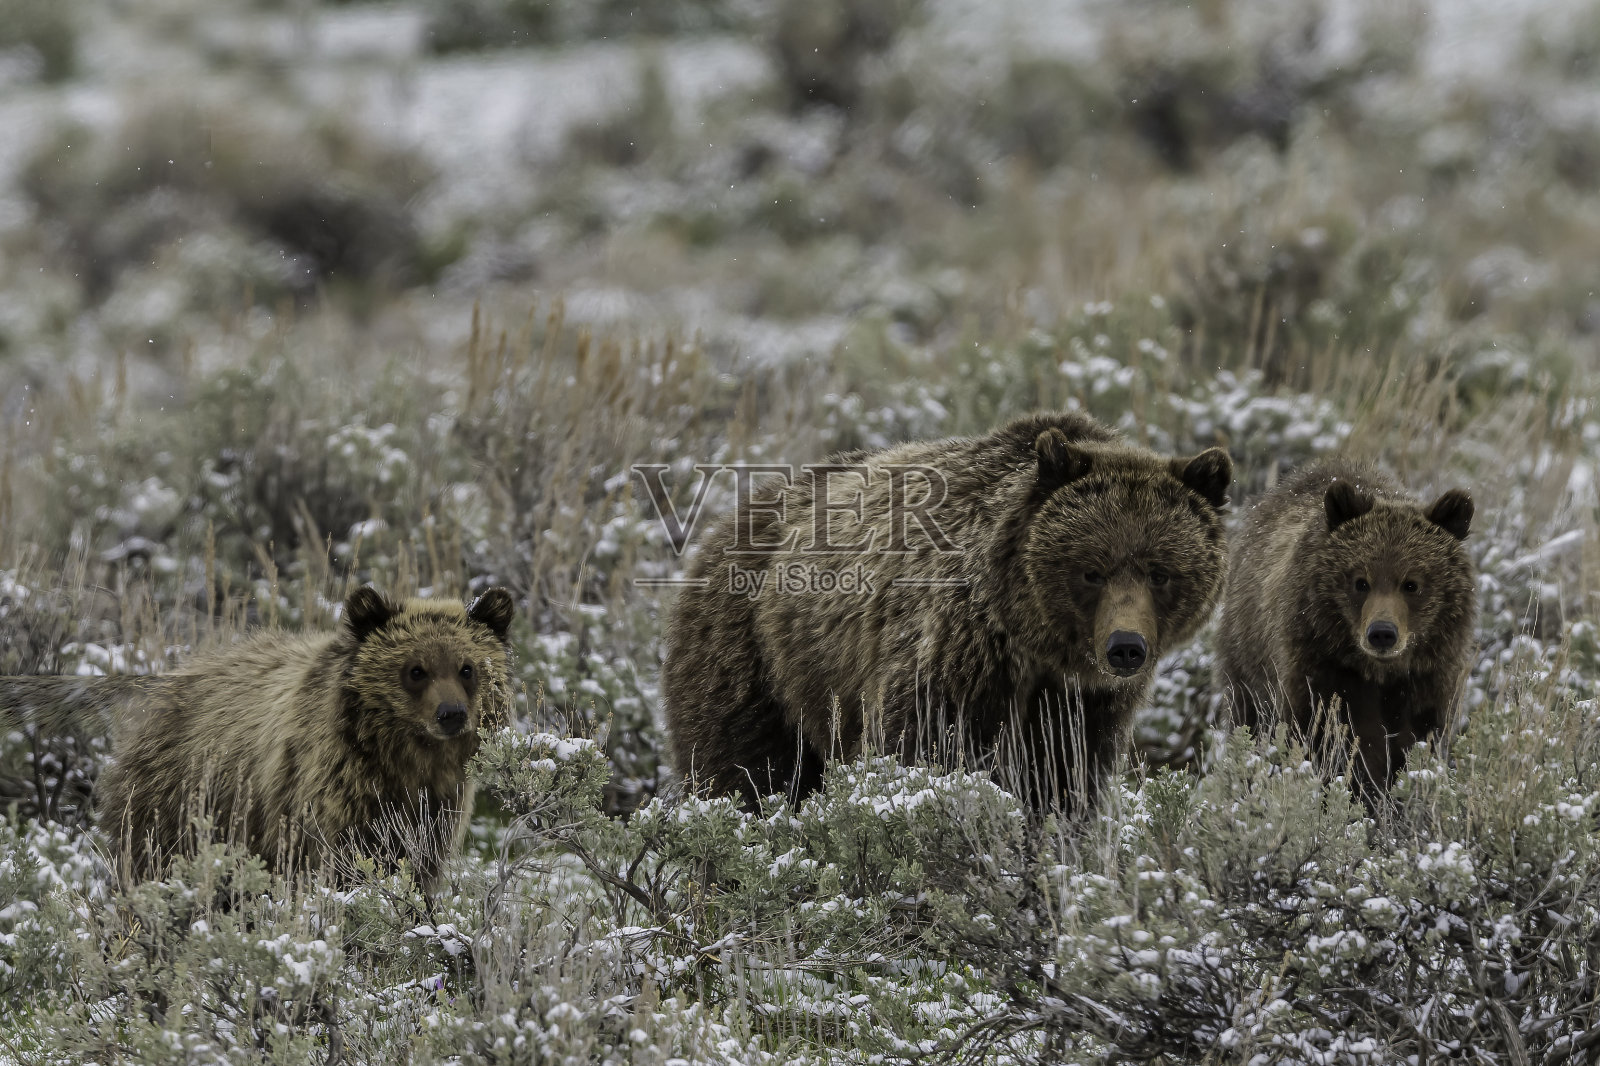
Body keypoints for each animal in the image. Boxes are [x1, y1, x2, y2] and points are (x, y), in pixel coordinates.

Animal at [3, 586, 516, 883]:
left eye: (468, 667)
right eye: (415, 669)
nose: (452, 714)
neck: (401, 760)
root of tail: (163, 685)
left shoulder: (434, 810)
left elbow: (419, 872)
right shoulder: (329, 797)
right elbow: (332, 869)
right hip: (174, 804)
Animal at [662, 411, 1233, 810]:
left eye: (1160, 572)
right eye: (1092, 570)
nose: (1126, 647)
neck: (1032, 640)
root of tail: (719, 526)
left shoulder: (1081, 704)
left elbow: (1062, 780)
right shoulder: (955, 651)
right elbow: (922, 749)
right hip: (757, 656)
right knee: (748, 769)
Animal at [1216, 457, 1477, 794]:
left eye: (1412, 584)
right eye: (1360, 581)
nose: (1382, 633)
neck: (1378, 672)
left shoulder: (1427, 678)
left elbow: (1418, 739)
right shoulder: (1323, 669)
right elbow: (1327, 735)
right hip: (1247, 656)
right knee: (1248, 715)